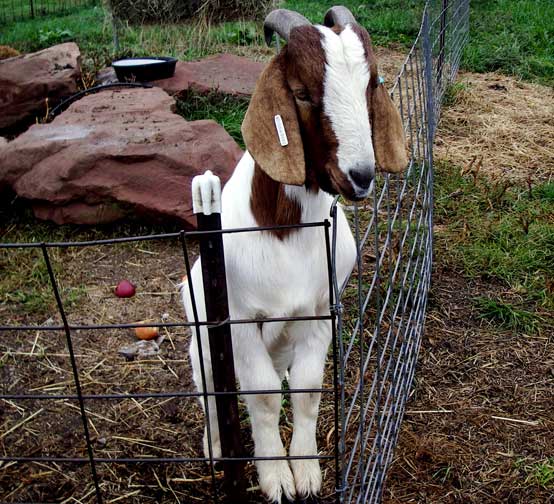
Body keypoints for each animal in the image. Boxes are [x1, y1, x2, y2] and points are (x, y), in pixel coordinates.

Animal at [181, 5, 406, 502]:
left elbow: (305, 389)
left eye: (371, 84)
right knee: (209, 391)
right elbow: (263, 395)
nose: (360, 176)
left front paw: (305, 471)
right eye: (301, 92)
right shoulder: (239, 321)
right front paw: (275, 478)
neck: (285, 229)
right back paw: (214, 447)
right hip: (202, 345)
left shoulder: (320, 310)